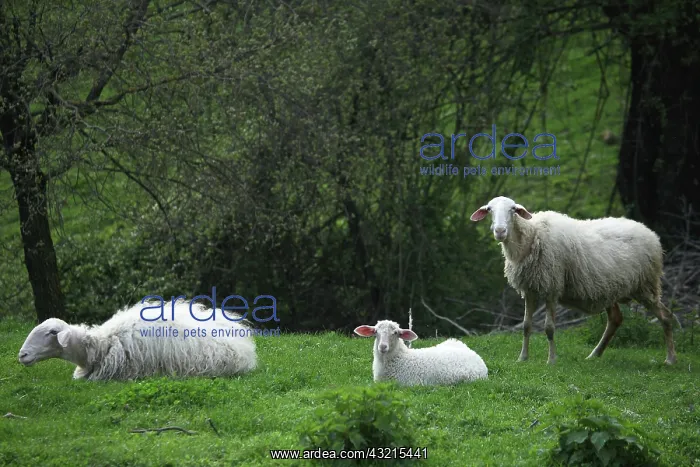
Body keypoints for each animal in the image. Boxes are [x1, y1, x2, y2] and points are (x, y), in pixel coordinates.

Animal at [470, 195, 677, 365]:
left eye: (513, 209)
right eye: (489, 209)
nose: (500, 231)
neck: (532, 236)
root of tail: (651, 233)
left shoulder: (552, 287)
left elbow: (549, 328)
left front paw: (551, 360)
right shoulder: (529, 289)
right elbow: (526, 326)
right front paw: (522, 358)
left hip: (646, 285)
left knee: (665, 316)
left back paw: (670, 359)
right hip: (610, 289)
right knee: (616, 319)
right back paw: (594, 355)